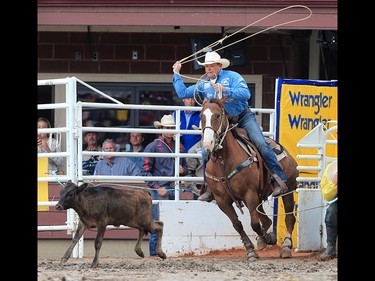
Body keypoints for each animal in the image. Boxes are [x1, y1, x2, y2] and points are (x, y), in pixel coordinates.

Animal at [200, 97, 300, 260]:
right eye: (201, 116)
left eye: (217, 115)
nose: (208, 143)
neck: (223, 161)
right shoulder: (222, 201)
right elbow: (237, 225)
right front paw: (251, 249)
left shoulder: (250, 194)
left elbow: (255, 224)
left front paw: (268, 239)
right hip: (258, 197)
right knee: (266, 220)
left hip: (288, 190)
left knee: (289, 218)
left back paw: (285, 246)